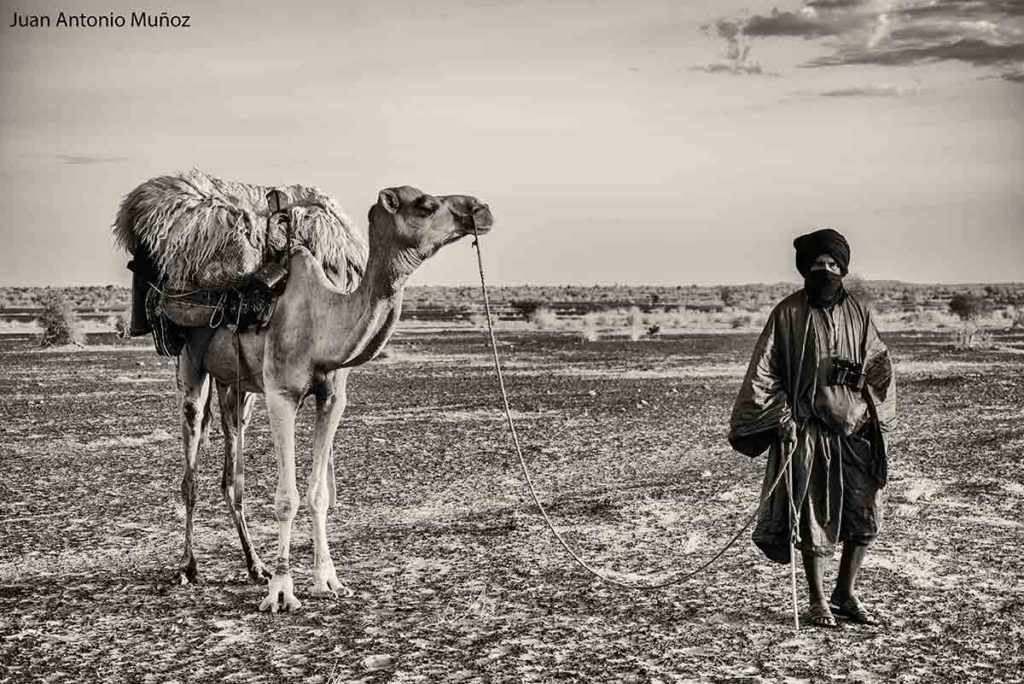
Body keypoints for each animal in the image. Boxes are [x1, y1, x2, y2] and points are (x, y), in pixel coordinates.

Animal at [150, 184, 491, 610]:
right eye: (427, 205)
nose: (482, 210)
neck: (323, 321)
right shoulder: (280, 394)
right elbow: (287, 498)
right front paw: (282, 591)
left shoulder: (332, 398)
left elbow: (318, 494)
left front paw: (327, 580)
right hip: (191, 364)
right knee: (190, 469)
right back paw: (188, 568)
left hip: (237, 388)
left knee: (233, 475)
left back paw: (255, 566)